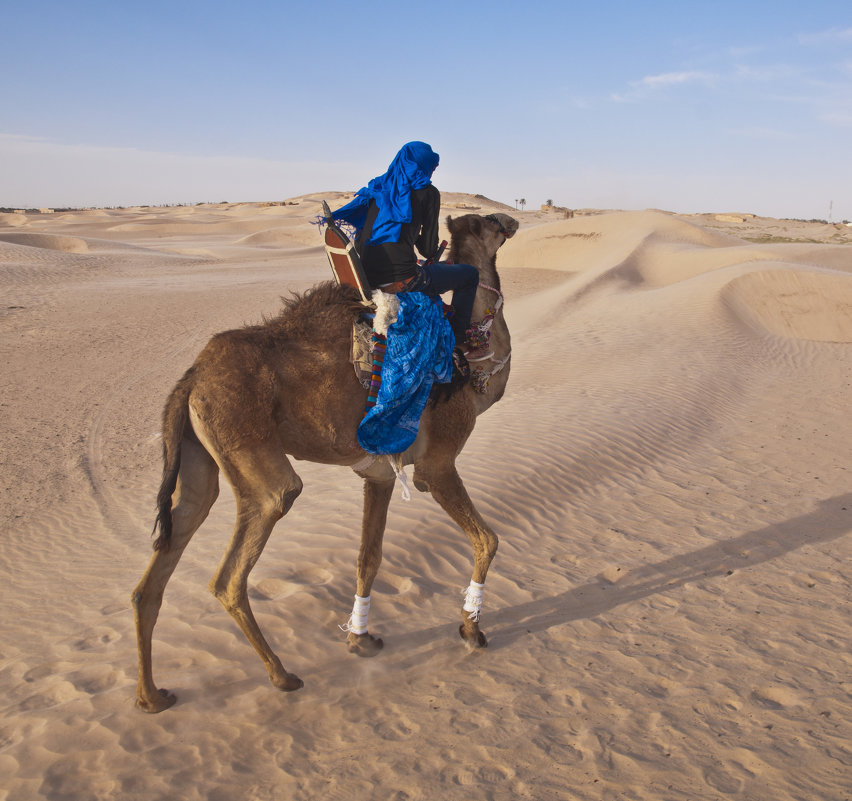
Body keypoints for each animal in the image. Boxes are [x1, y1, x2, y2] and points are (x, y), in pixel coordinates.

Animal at [131, 209, 520, 708]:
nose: (512, 219)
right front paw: (471, 630)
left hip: (199, 461)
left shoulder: (379, 473)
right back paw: (282, 675)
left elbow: (368, 557)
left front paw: (361, 639)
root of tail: (191, 379)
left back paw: (152, 695)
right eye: (489, 220)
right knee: (236, 565)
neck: (473, 360)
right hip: (251, 451)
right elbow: (486, 539)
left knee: (164, 558)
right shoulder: (437, 464)